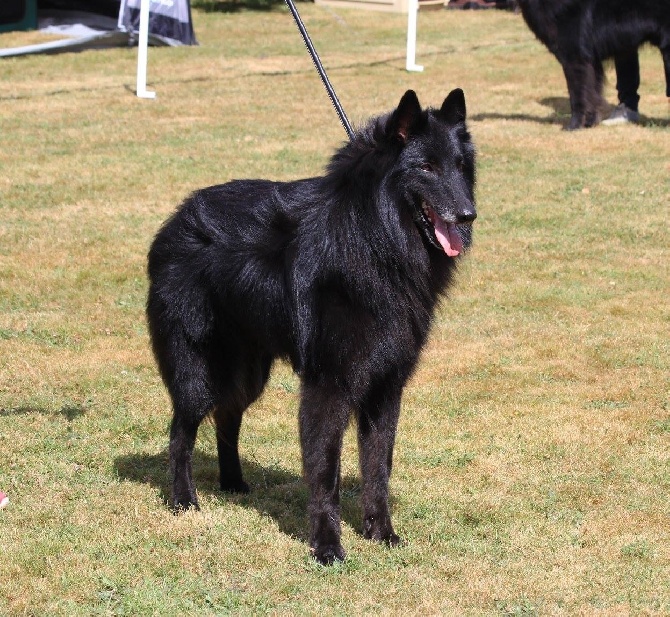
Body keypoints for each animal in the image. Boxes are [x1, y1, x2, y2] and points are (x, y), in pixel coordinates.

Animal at [147, 88, 478, 564]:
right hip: (199, 372)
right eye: (426, 168)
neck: (373, 239)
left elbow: (378, 468)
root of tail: (174, 222)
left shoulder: (385, 387)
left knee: (227, 415)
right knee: (180, 433)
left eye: (458, 165)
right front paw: (326, 546)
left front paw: (382, 533)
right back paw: (183, 501)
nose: (468, 215)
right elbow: (326, 472)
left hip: (249, 372)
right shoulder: (328, 386)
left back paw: (233, 483)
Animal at [520, 0, 670, 129]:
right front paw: (589, 123)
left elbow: (577, 95)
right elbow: (592, 93)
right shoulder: (592, 63)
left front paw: (574, 126)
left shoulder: (576, 60)